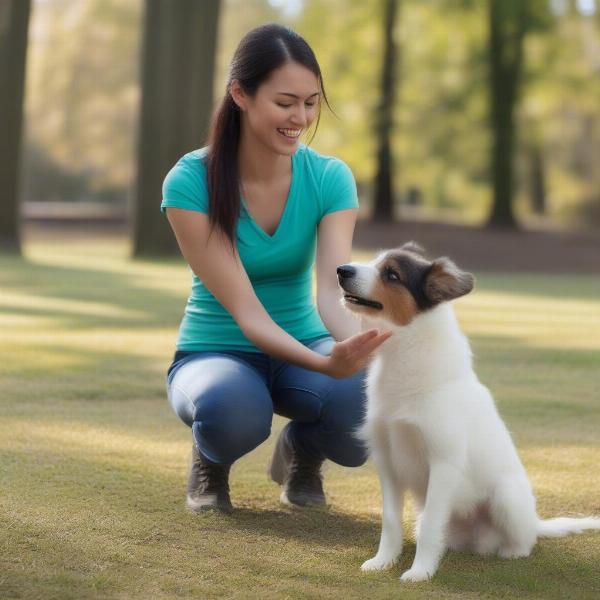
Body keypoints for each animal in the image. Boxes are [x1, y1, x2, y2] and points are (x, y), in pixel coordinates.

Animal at [338, 243, 600, 580]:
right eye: (374, 261)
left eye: (392, 274)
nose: (341, 270)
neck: (406, 351)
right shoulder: (387, 462)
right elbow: (391, 521)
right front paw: (383, 561)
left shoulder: (443, 463)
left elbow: (430, 526)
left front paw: (420, 573)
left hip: (507, 498)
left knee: (524, 539)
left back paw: (513, 551)